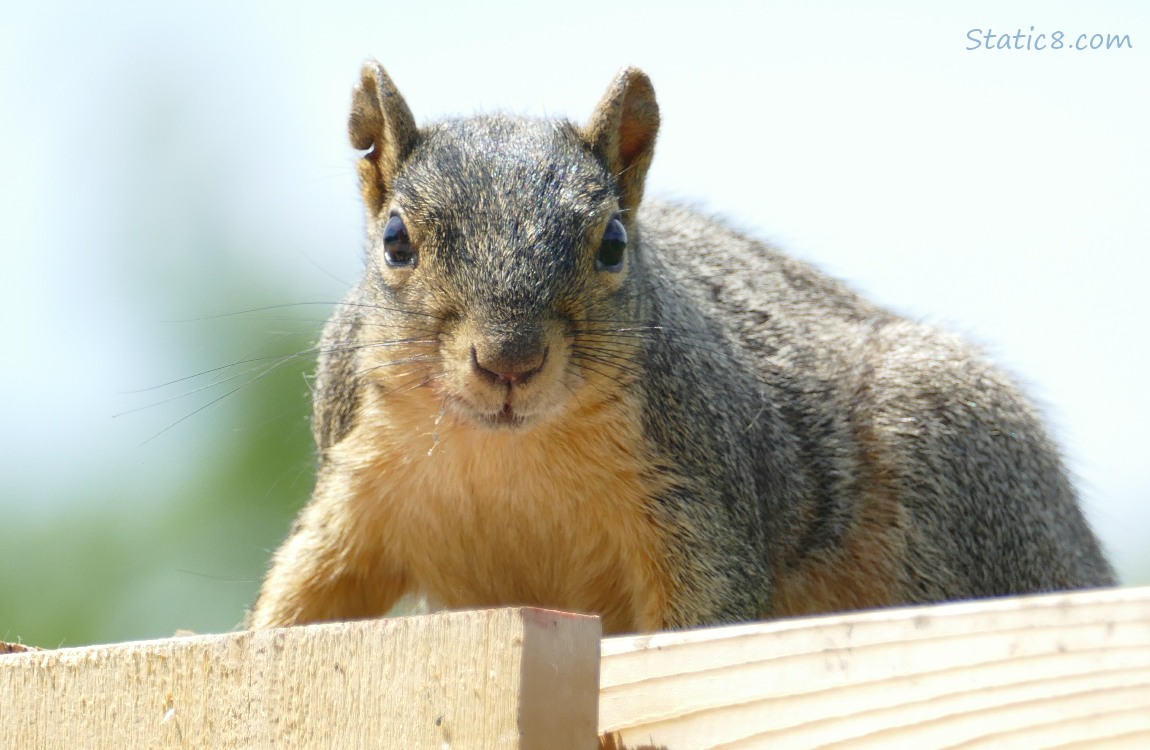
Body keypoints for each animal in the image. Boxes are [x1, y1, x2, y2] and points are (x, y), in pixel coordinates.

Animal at [247, 62, 1115, 634]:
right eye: (395, 241)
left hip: (952, 458)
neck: (507, 452)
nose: (509, 363)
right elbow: (301, 599)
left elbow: (705, 610)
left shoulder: (696, 496)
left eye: (613, 245)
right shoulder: (355, 489)